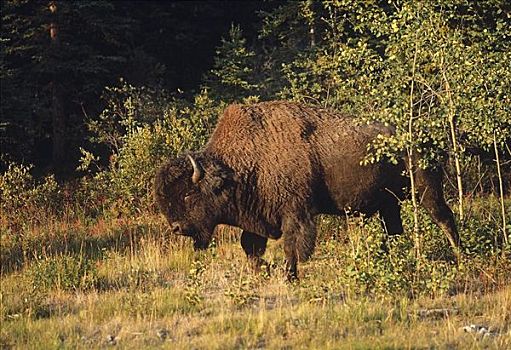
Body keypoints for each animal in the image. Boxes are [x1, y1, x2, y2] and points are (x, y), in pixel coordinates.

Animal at [154, 101, 462, 278]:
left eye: (188, 194)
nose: (177, 228)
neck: (237, 167)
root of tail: (427, 136)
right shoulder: (256, 217)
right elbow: (250, 247)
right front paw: (265, 271)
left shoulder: (296, 213)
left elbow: (292, 246)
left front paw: (288, 275)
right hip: (390, 203)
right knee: (394, 230)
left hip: (426, 189)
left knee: (444, 218)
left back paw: (460, 256)